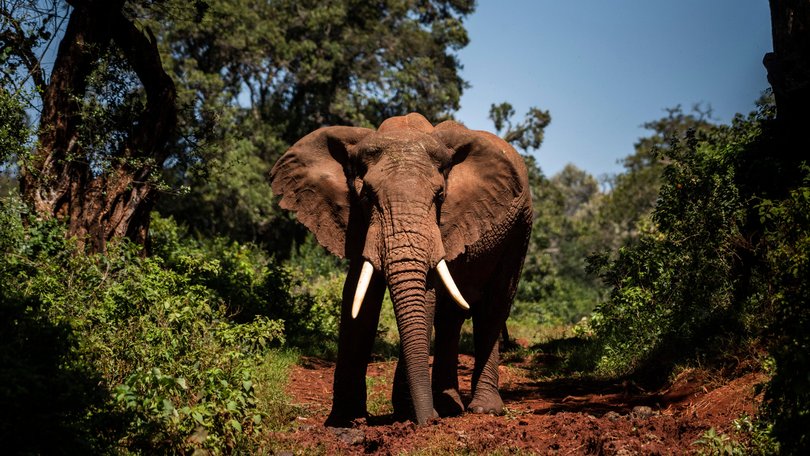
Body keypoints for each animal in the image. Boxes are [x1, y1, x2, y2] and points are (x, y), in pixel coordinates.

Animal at [270, 113, 532, 426]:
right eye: (367, 196)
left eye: (440, 196)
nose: (428, 422)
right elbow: (358, 295)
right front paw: (345, 420)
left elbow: (427, 296)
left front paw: (407, 414)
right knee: (450, 316)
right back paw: (448, 406)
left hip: (520, 230)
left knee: (493, 307)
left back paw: (483, 409)